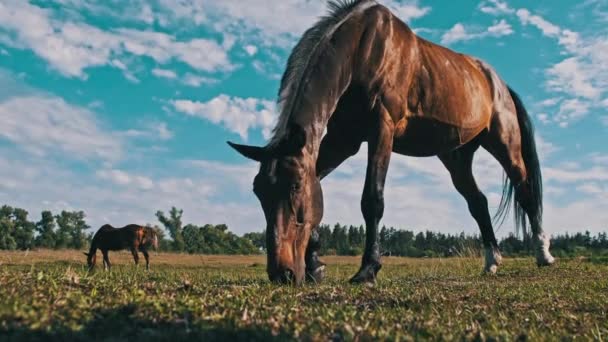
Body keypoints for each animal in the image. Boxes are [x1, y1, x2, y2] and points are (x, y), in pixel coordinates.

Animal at [228, 0, 556, 284]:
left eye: (295, 186)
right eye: (258, 192)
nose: (281, 273)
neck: (363, 49)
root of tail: (498, 82)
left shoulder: (381, 130)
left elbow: (372, 199)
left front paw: (367, 270)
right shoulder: (343, 141)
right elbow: (319, 180)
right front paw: (315, 264)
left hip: (504, 144)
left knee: (525, 190)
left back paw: (543, 255)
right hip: (456, 157)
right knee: (478, 202)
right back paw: (492, 261)